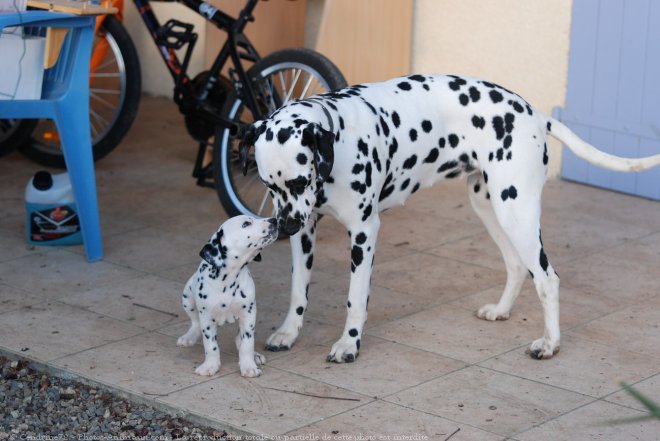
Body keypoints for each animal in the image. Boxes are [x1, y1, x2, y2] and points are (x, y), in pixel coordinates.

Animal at [177, 213, 278, 374]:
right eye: (246, 224)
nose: (274, 220)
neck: (229, 280)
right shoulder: (207, 318)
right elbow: (211, 346)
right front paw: (210, 366)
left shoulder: (248, 314)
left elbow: (247, 343)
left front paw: (248, 366)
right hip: (187, 298)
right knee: (195, 322)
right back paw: (189, 337)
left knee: (239, 339)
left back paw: (254, 356)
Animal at [240, 74, 660, 362]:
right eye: (268, 184)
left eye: (299, 179)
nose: (284, 227)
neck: (339, 137)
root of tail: (536, 114)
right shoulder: (305, 232)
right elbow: (298, 290)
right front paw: (288, 333)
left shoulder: (363, 233)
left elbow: (355, 298)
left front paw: (349, 344)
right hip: (490, 208)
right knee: (516, 266)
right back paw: (502, 311)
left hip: (517, 213)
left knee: (547, 278)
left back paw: (550, 344)